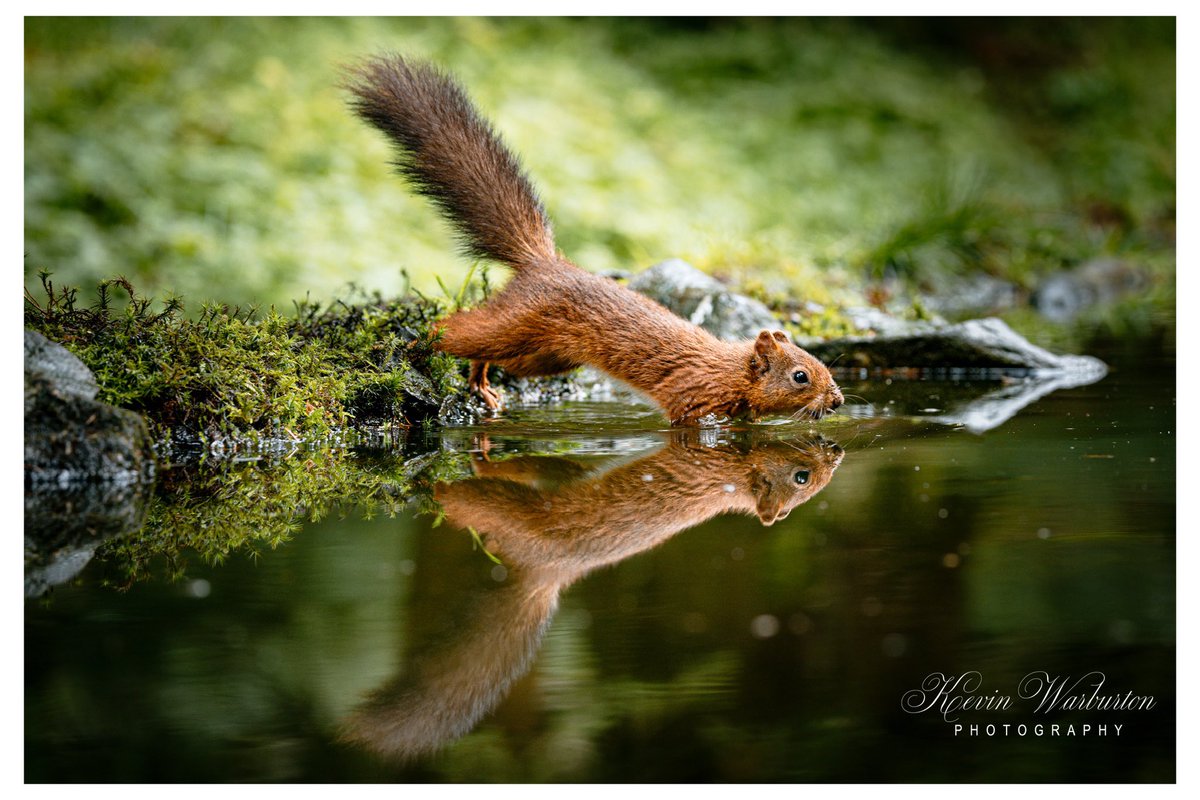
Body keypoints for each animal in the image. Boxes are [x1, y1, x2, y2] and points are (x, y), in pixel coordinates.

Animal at [346, 56, 844, 425]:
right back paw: (414, 347)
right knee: (456, 328)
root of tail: (544, 261)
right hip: (518, 324)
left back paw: (481, 385)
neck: (729, 372)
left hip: (543, 358)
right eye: (801, 376)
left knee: (488, 352)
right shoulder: (691, 399)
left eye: (820, 364)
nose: (838, 400)